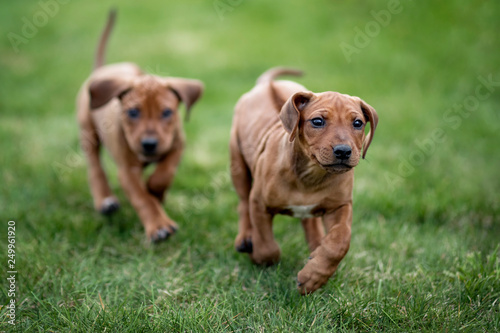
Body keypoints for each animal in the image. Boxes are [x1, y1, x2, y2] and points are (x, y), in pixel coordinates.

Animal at [75, 11, 203, 241]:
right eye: (133, 112)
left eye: (167, 112)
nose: (149, 144)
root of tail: (103, 69)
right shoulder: (127, 171)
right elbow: (142, 198)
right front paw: (159, 225)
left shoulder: (177, 145)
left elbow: (165, 173)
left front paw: (156, 190)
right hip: (88, 131)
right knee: (95, 166)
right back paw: (105, 199)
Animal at [230, 67, 378, 294]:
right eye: (317, 121)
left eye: (357, 123)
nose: (343, 151)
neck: (311, 176)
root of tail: (267, 84)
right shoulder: (260, 203)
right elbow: (267, 246)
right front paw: (258, 255)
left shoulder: (341, 205)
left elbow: (340, 242)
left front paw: (314, 276)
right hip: (237, 162)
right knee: (243, 202)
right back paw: (246, 237)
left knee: (311, 222)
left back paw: (316, 246)